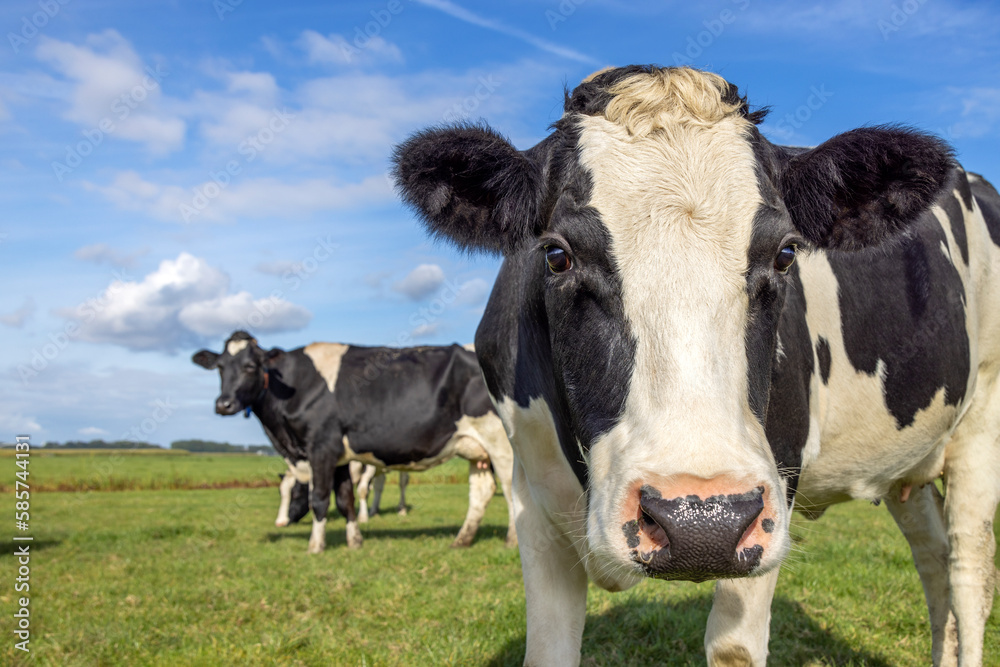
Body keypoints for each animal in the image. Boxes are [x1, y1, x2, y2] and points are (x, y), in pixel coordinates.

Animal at [192, 332, 520, 552]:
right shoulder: (339, 457)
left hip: (501, 442)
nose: (223, 404)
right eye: (221, 367)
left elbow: (319, 498)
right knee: (482, 492)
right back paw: (461, 540)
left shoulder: (320, 447)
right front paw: (354, 541)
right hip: (476, 448)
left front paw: (315, 546)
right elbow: (344, 498)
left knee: (510, 488)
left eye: (250, 366)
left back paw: (512, 541)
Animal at [392, 64, 1000, 667]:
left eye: (785, 253)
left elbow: (733, 647)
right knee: (932, 556)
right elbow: (547, 647)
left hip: (982, 423)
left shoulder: (774, 481)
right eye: (557, 254)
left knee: (968, 568)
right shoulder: (531, 499)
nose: (698, 522)